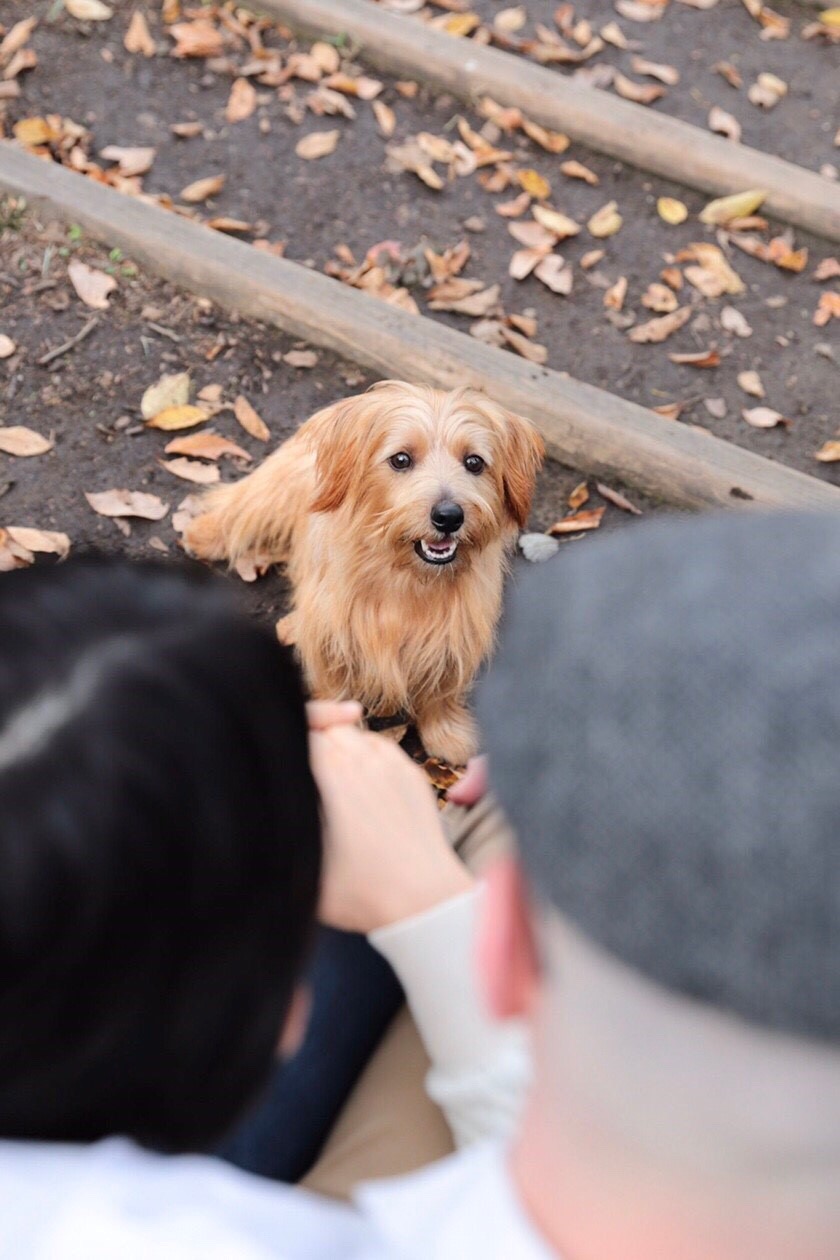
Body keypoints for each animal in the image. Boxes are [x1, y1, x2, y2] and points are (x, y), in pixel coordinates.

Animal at [185, 378, 546, 761]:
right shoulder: (332, 637)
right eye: (401, 459)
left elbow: (441, 690)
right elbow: (337, 691)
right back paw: (204, 533)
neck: (406, 578)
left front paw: (447, 733)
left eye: (474, 462)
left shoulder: (455, 635)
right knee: (240, 506)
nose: (449, 516)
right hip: (276, 491)